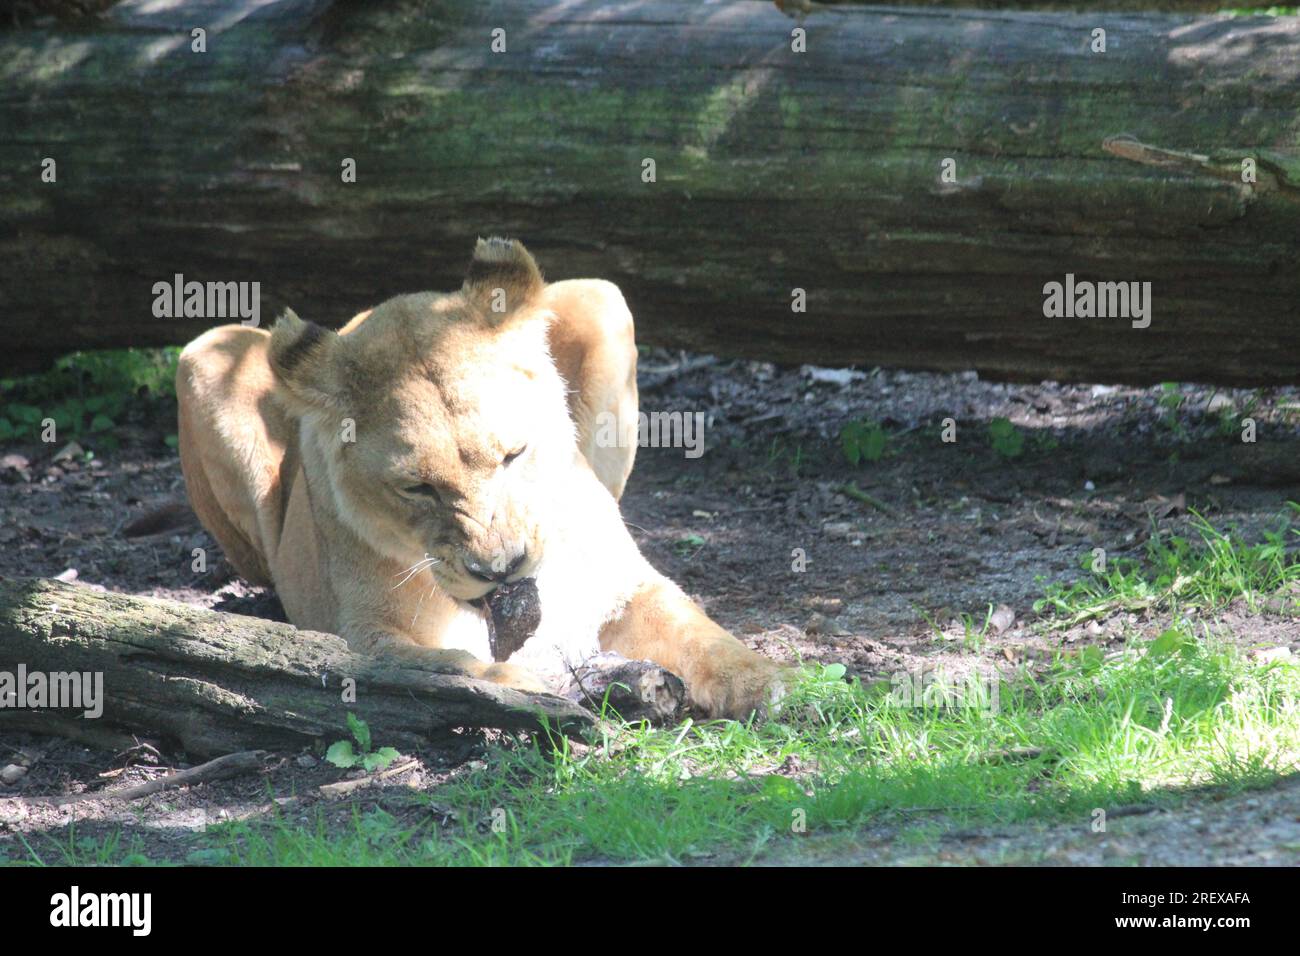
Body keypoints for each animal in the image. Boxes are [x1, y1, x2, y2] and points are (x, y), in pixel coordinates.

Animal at [175, 238, 789, 718]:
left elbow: (705, 636)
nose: (500, 570)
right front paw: (529, 687)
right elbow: (455, 663)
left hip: (600, 296)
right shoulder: (360, 638)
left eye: (514, 454)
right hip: (206, 355)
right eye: (418, 488)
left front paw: (779, 685)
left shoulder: (626, 586)